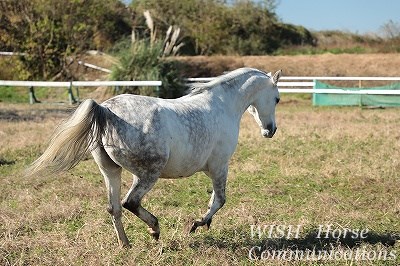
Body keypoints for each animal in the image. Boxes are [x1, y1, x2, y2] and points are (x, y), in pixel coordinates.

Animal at [27, 67, 282, 246]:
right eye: (277, 98)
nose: (270, 130)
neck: (222, 105)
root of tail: (106, 110)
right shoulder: (220, 166)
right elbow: (219, 200)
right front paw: (196, 224)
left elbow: (214, 200)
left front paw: (203, 223)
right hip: (148, 174)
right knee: (130, 202)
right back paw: (155, 229)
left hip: (111, 171)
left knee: (114, 208)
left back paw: (125, 245)